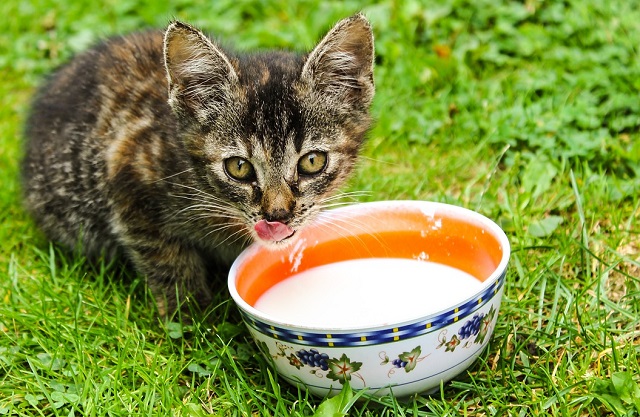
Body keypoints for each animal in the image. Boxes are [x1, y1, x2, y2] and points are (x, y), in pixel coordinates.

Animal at [22, 14, 376, 314]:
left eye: (312, 162)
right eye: (239, 167)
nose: (277, 215)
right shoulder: (128, 175)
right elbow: (166, 258)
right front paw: (192, 316)